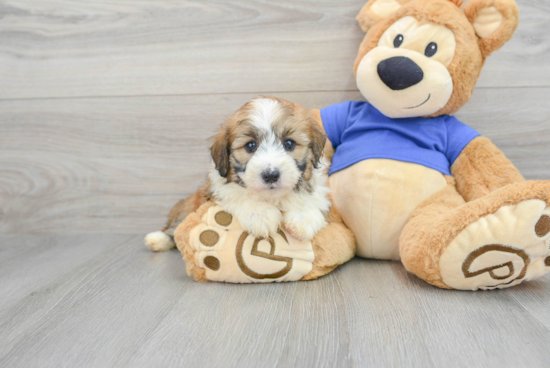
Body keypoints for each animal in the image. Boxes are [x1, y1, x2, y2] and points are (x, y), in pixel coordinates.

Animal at [144, 96, 332, 252]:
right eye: (250, 146)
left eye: (289, 144)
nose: (271, 175)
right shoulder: (218, 189)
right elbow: (240, 195)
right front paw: (262, 215)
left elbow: (311, 199)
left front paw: (303, 218)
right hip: (186, 206)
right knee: (175, 225)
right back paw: (158, 239)